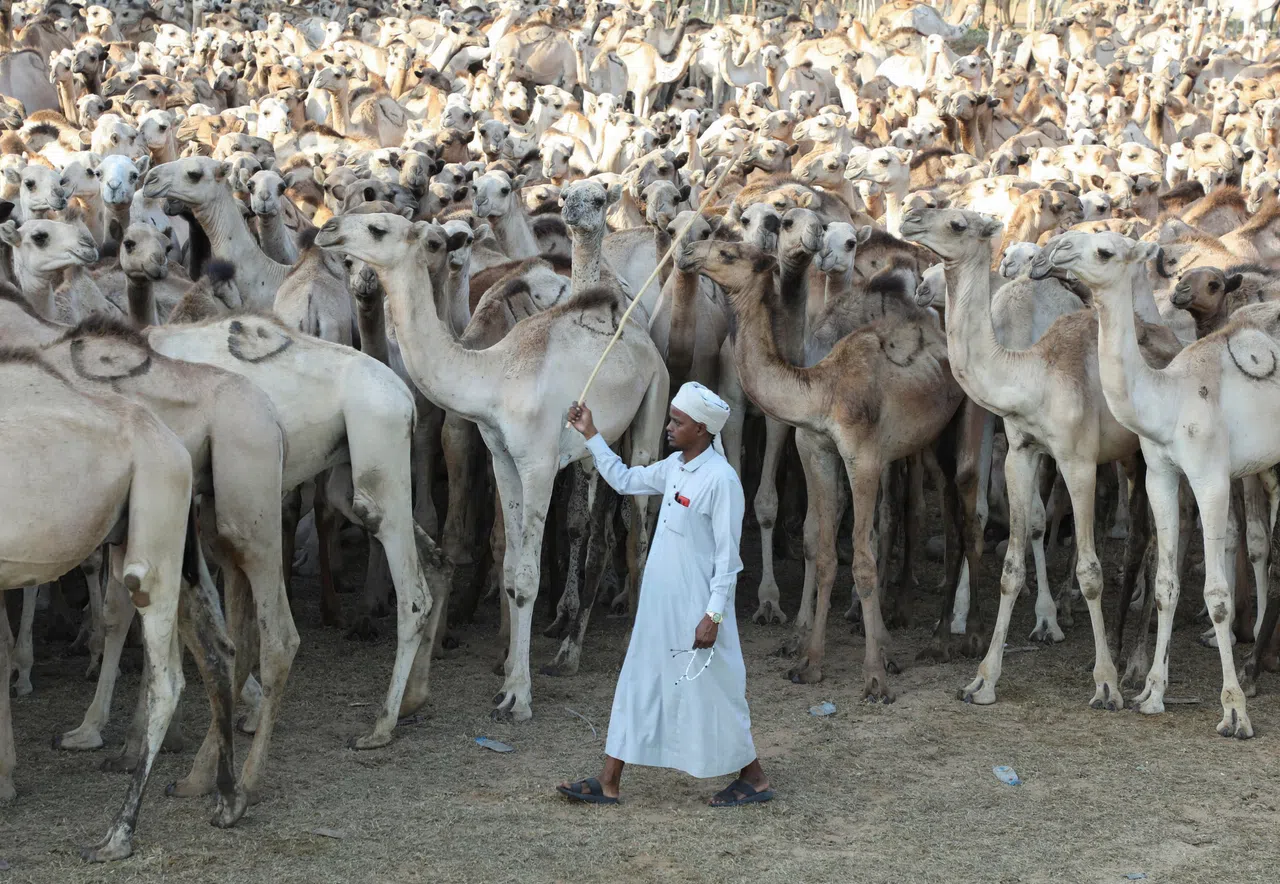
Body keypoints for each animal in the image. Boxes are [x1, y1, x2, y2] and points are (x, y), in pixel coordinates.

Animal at [315, 213, 669, 720]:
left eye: (378, 228)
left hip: (653, 404)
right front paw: (507, 681)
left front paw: (518, 696)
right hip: (601, 443)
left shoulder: (539, 463)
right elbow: (510, 571)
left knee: (639, 530)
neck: (492, 379)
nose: (328, 230)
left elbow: (528, 577)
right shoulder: (503, 459)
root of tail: (642, 338)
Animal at [678, 236, 968, 699]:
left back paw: (944, 637)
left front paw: (875, 677)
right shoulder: (817, 449)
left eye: (728, 253)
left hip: (954, 427)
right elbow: (826, 550)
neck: (821, 390)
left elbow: (863, 558)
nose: (687, 251)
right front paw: (809, 663)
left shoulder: (862, 456)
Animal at [902, 208, 1181, 712]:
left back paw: (1136, 667)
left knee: (1154, 542)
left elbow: (1090, 570)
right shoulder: (1021, 452)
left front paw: (1105, 684)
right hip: (1132, 456)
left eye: (957, 223)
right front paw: (982, 680)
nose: (911, 216)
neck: (1034, 376)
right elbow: (1011, 567)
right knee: (1142, 537)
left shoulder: (1077, 459)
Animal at [1033, 231, 1272, 738]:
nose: (1054, 250)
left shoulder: (1211, 476)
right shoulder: (1161, 471)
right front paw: (1150, 693)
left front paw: (1234, 711)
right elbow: (1164, 581)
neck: (1169, 398)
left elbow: (1217, 596)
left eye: (1105, 250)